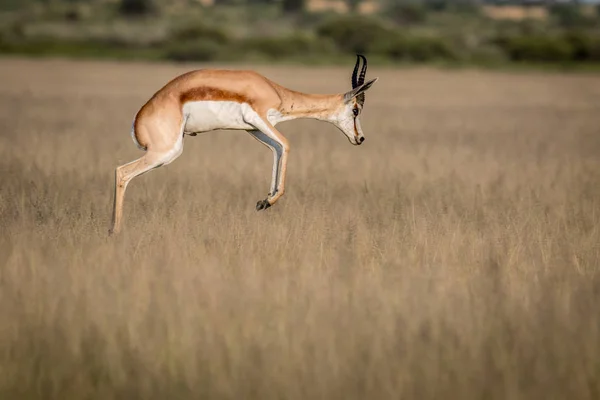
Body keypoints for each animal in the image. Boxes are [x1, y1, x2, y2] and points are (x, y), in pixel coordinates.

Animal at [109, 54, 376, 234]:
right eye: (355, 109)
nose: (360, 138)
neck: (274, 91)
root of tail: (138, 121)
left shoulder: (254, 129)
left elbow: (277, 150)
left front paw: (264, 200)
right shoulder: (259, 118)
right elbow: (287, 145)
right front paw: (268, 202)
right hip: (166, 152)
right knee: (122, 172)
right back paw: (115, 231)